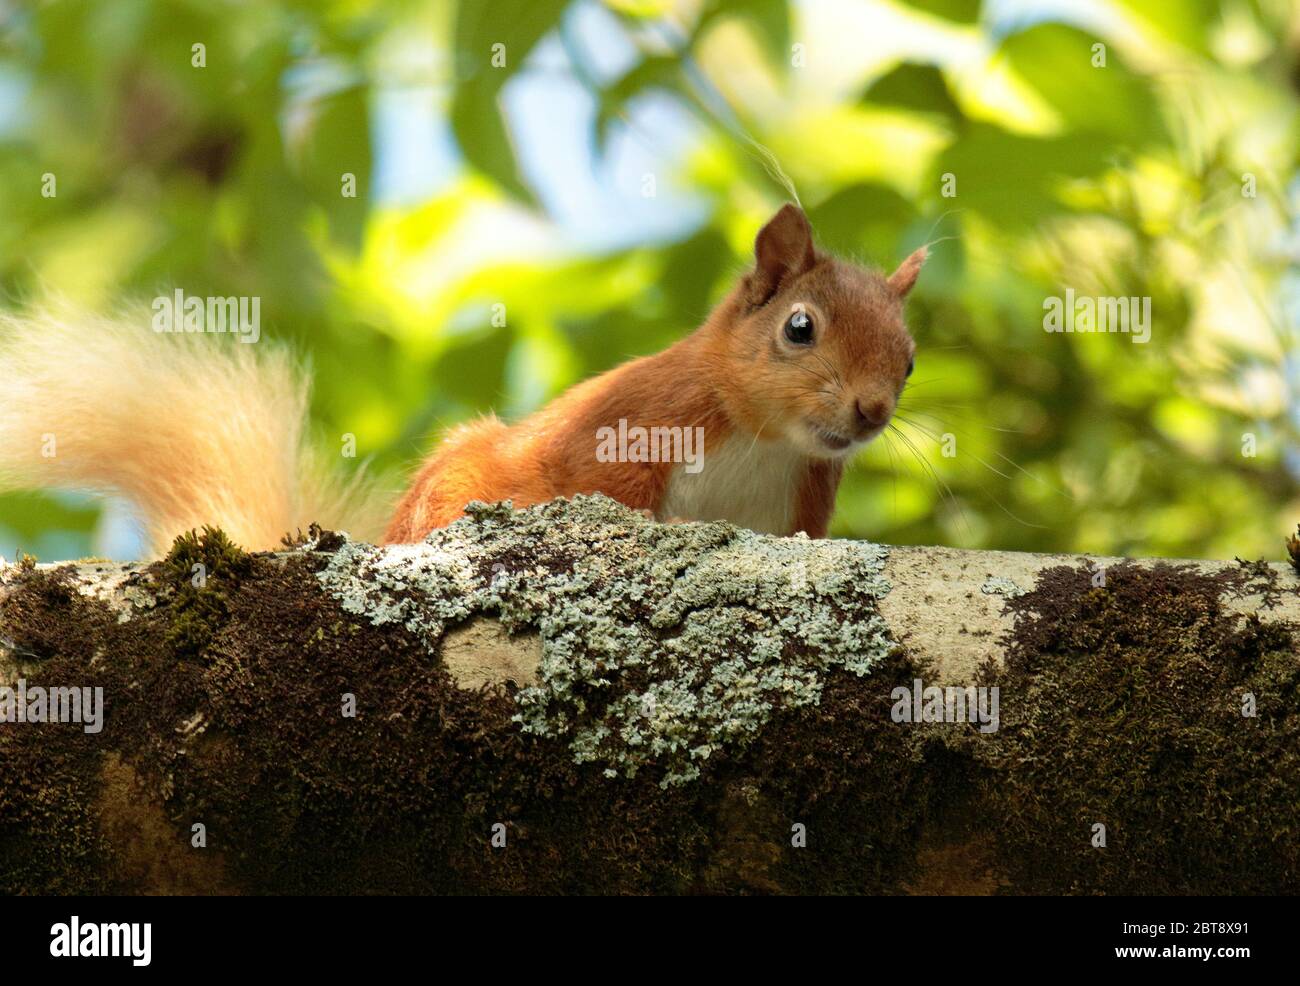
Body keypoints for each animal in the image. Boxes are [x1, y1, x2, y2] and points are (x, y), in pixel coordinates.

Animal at [0, 204, 920, 556]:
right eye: (799, 327)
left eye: (909, 359)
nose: (872, 410)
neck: (768, 440)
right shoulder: (637, 417)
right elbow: (597, 486)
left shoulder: (805, 499)